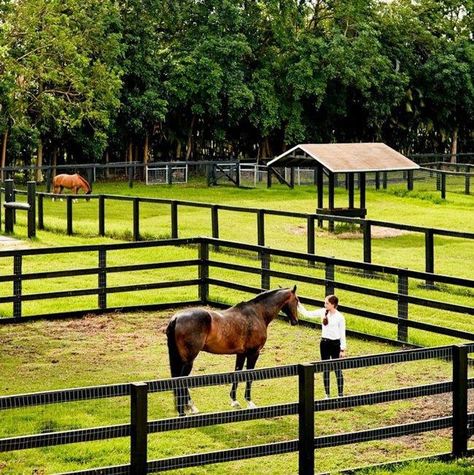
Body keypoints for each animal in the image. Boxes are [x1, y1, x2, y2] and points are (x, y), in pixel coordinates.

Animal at [166, 286, 296, 416]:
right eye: (297, 300)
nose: (295, 321)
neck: (257, 313)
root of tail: (176, 318)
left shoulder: (241, 354)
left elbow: (237, 374)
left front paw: (234, 401)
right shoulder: (254, 353)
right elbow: (250, 376)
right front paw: (249, 402)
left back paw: (190, 407)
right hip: (189, 361)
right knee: (181, 381)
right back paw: (183, 412)